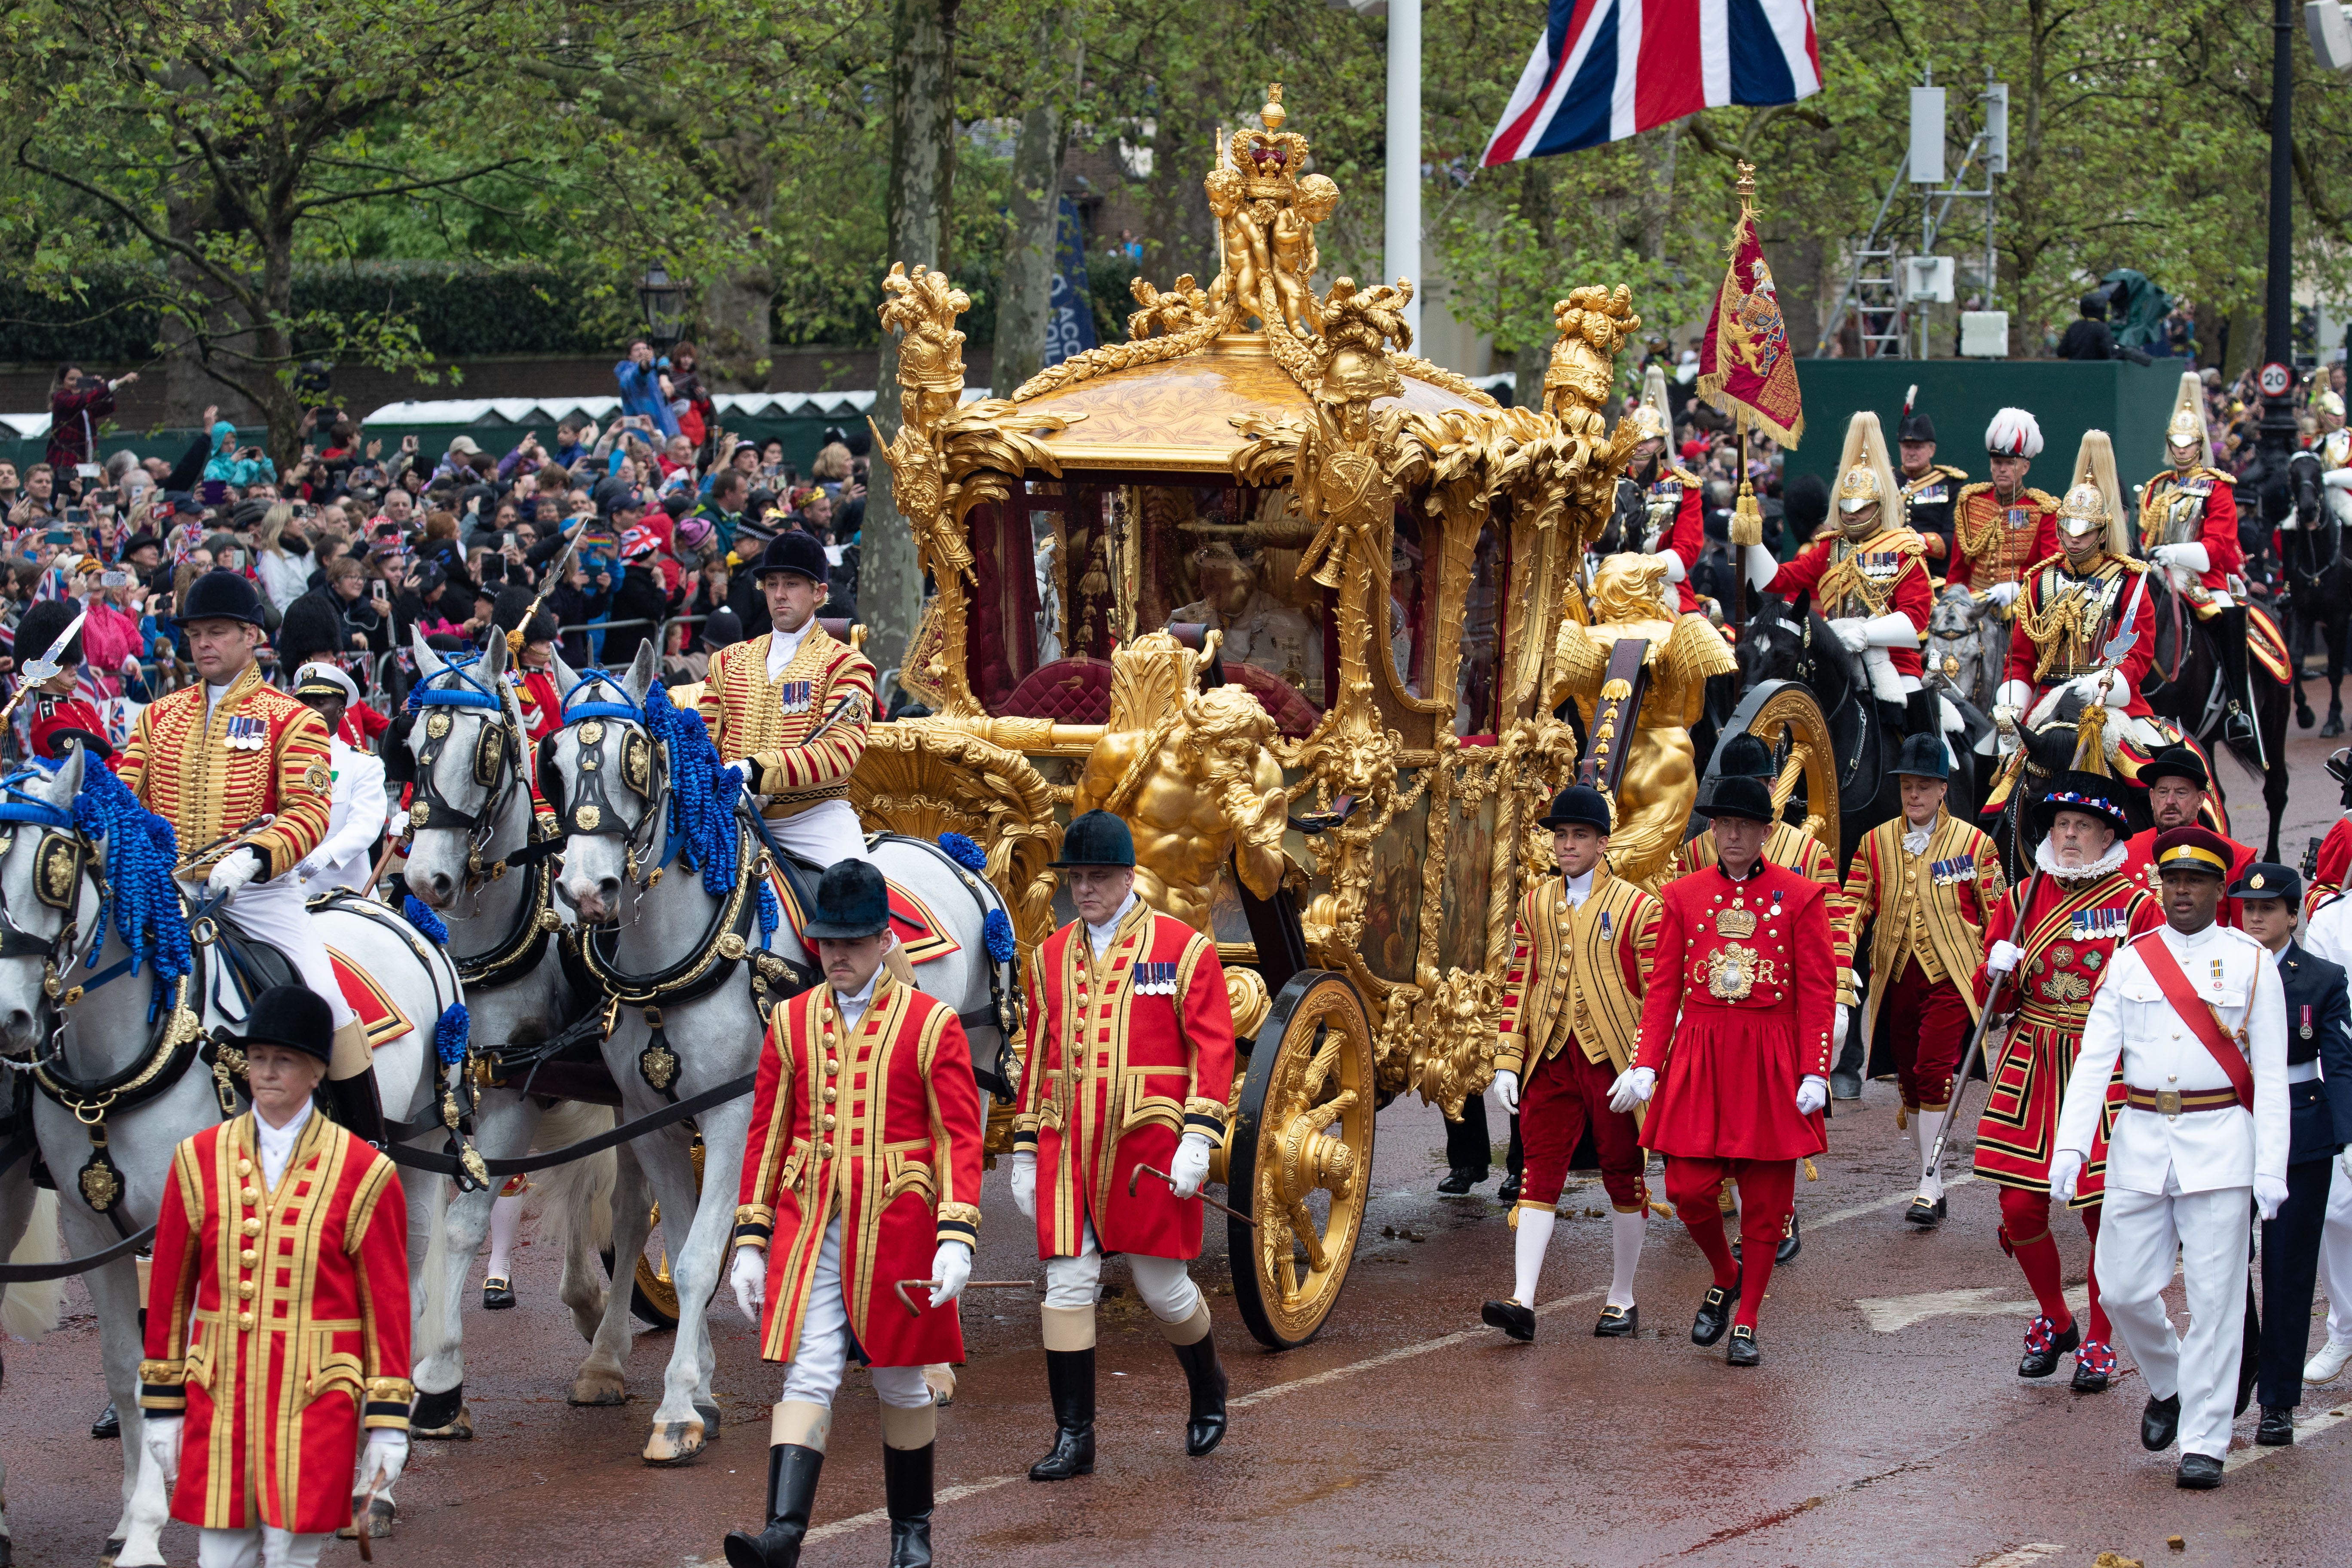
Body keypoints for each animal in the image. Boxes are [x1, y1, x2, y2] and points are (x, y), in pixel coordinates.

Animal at [0, 747, 466, 1561]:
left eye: (54, 867)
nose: (11, 1017)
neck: (125, 1061)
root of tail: (386, 910)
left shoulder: (185, 1221)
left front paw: (152, 1527)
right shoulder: (92, 1230)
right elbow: (126, 1368)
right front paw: (133, 1514)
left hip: (416, 1152)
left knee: (400, 1299)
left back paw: (371, 1489)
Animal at [400, 630, 644, 1439]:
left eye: (486, 750)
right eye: (411, 745)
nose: (429, 880)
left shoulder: (512, 1097)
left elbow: (463, 1223)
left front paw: (439, 1380)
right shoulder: (441, 1102)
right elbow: (423, 1224)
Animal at [545, 644, 1016, 1467]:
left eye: (638, 759)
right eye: (558, 763)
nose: (585, 888)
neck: (674, 965)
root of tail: (951, 851)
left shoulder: (734, 1115)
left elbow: (699, 1256)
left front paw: (677, 1410)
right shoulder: (653, 1120)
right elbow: (679, 1238)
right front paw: (699, 1392)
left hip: (968, 1078)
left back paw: (931, 1364)